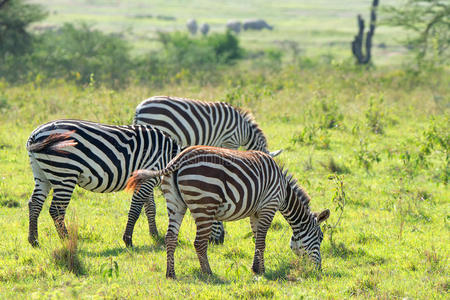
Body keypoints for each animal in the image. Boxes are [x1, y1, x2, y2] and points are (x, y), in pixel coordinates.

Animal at [25, 118, 181, 247]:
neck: (169, 156)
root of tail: (35, 135)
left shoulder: (144, 179)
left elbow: (150, 208)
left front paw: (154, 235)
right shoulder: (149, 176)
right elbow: (136, 209)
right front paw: (128, 240)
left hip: (42, 174)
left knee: (35, 203)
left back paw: (34, 240)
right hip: (65, 173)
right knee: (56, 210)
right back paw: (66, 240)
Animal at [126, 146, 330, 278]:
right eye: (320, 238)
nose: (319, 269)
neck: (284, 192)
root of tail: (178, 160)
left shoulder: (256, 212)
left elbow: (256, 238)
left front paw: (255, 268)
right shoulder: (268, 206)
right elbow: (262, 242)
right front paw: (263, 271)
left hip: (175, 203)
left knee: (170, 237)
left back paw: (170, 273)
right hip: (204, 204)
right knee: (199, 243)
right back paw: (208, 273)